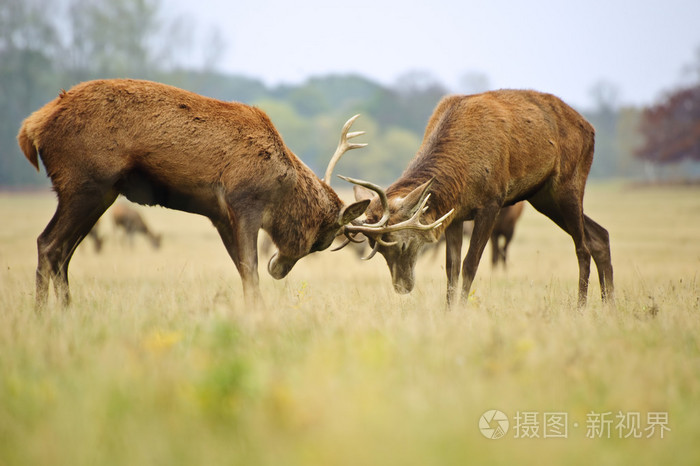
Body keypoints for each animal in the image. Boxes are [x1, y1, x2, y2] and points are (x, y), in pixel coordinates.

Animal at [16, 78, 370, 308]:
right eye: (321, 241)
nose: (279, 271)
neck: (282, 184)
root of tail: (31, 128)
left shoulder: (221, 215)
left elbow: (242, 270)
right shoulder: (245, 201)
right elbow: (251, 269)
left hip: (100, 193)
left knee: (64, 251)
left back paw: (65, 312)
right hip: (85, 183)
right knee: (49, 244)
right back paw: (42, 317)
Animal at [342, 89, 616, 308]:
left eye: (401, 245)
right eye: (378, 251)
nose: (402, 288)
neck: (461, 174)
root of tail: (590, 129)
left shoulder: (492, 202)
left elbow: (470, 263)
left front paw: (462, 310)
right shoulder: (454, 214)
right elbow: (451, 268)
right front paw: (449, 310)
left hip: (569, 183)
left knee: (582, 247)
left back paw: (581, 307)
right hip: (543, 197)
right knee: (600, 235)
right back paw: (608, 305)